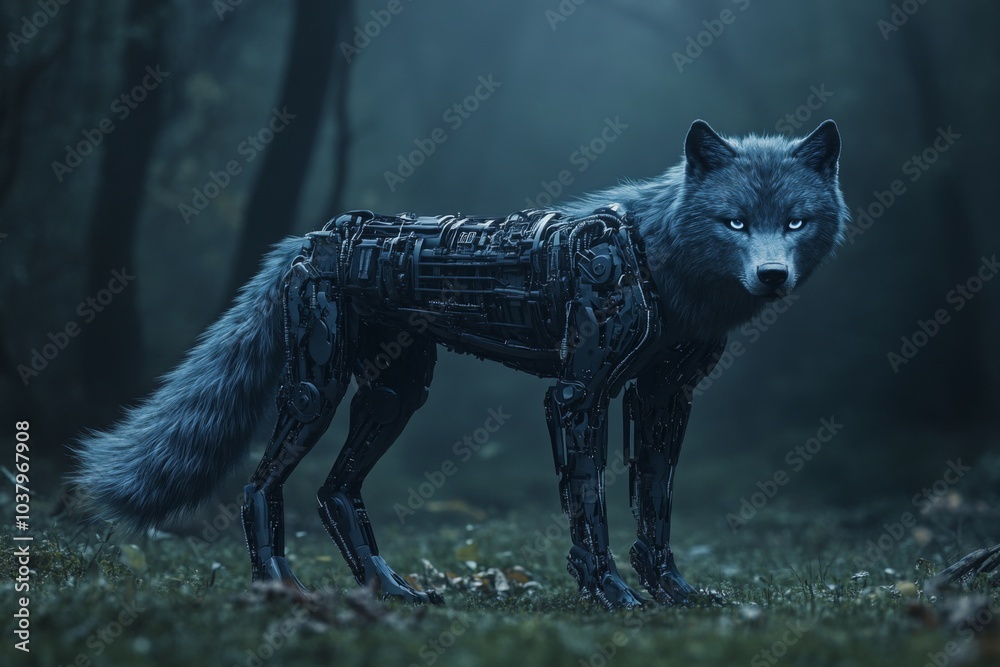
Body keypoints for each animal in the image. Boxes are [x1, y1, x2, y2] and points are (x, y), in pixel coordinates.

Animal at [71, 120, 848, 609]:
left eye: (796, 221)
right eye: (735, 222)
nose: (772, 276)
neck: (657, 258)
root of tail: (318, 233)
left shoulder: (662, 399)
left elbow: (655, 514)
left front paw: (675, 596)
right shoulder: (577, 393)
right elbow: (590, 514)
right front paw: (611, 597)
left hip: (394, 397)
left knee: (334, 492)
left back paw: (391, 592)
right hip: (316, 391)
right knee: (261, 486)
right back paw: (280, 589)